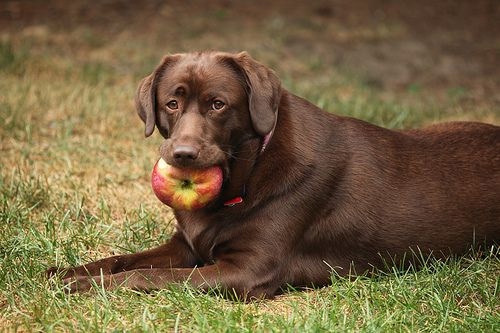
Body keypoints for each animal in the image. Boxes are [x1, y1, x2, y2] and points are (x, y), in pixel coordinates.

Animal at [48, 51, 500, 298]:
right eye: (171, 104)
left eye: (217, 104)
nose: (183, 154)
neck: (245, 175)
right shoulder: (185, 246)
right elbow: (123, 259)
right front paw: (68, 273)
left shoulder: (247, 271)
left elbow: (149, 276)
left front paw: (86, 288)